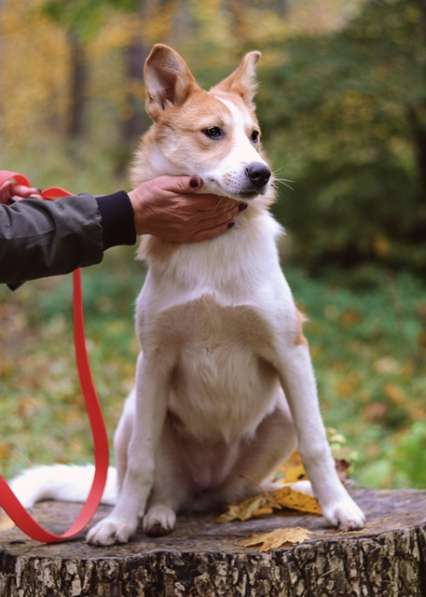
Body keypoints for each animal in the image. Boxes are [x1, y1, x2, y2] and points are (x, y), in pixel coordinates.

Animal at [9, 44, 366, 544]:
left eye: (254, 135)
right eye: (213, 132)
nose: (262, 173)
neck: (211, 248)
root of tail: (205, 489)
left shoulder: (291, 351)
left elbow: (316, 445)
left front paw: (338, 507)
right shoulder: (154, 360)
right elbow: (142, 462)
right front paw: (121, 524)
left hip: (278, 414)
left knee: (243, 491)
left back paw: (281, 492)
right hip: (137, 410)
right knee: (158, 486)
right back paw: (154, 515)